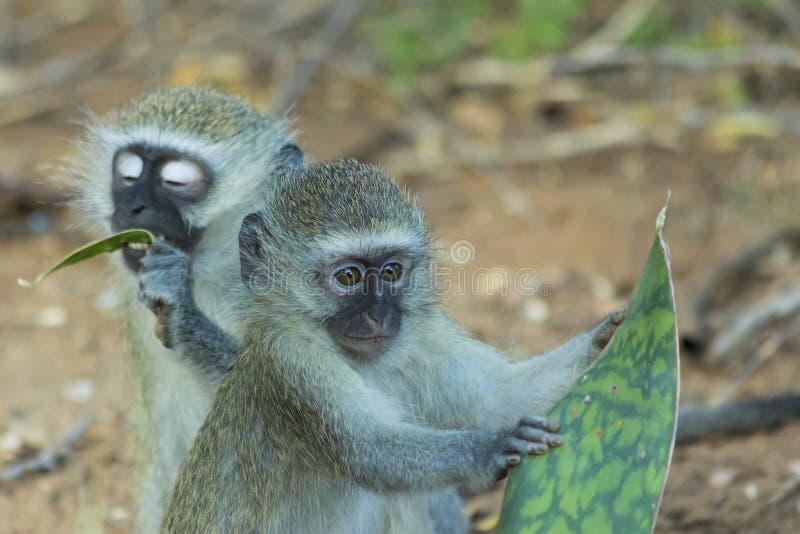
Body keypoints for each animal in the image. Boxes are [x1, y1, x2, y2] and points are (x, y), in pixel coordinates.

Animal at [139, 160, 624, 534]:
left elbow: (498, 398)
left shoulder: (424, 334)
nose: (379, 314)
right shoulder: (293, 363)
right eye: (349, 277)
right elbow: (369, 451)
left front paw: (606, 337)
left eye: (391, 272)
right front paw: (492, 448)